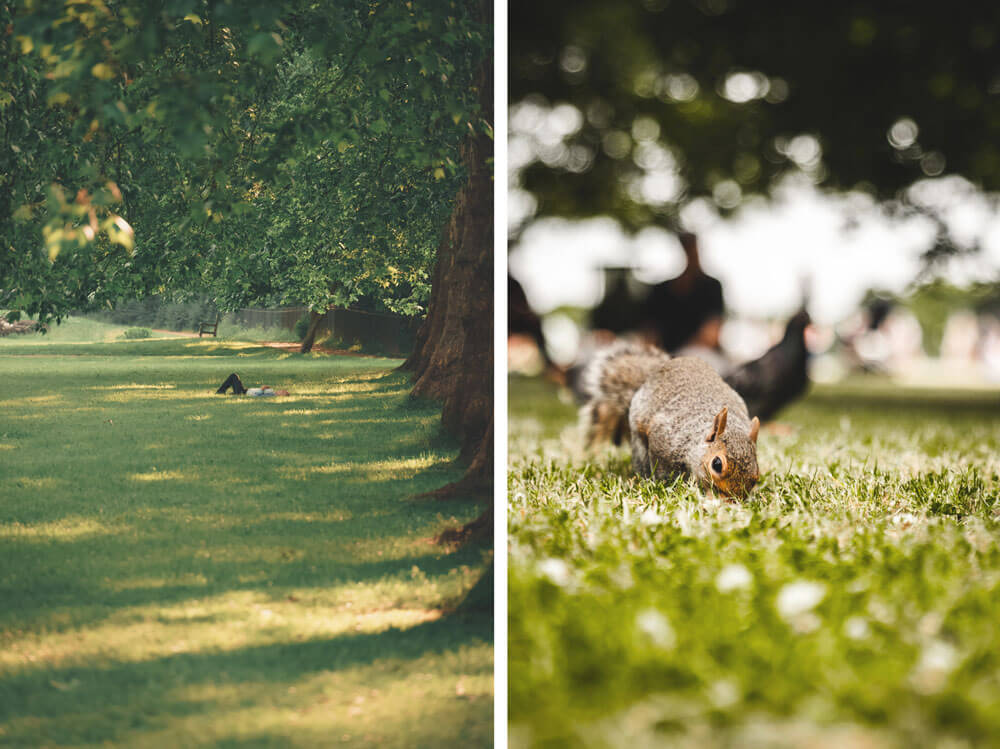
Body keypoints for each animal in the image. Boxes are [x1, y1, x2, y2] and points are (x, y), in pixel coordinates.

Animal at [580, 344, 756, 496]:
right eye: (717, 464)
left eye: (755, 478)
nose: (731, 500)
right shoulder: (665, 436)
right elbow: (663, 469)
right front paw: (668, 484)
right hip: (639, 439)